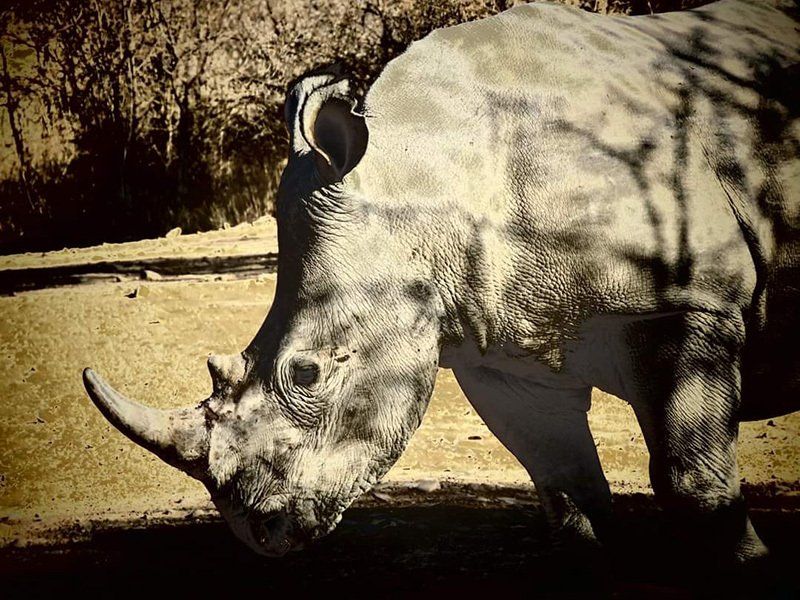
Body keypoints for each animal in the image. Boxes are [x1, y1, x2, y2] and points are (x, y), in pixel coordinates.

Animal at [84, 0, 799, 562]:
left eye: (307, 373)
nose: (262, 533)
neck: (421, 179)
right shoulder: (498, 353)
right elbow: (567, 493)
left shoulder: (685, 304)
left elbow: (694, 483)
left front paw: (751, 568)